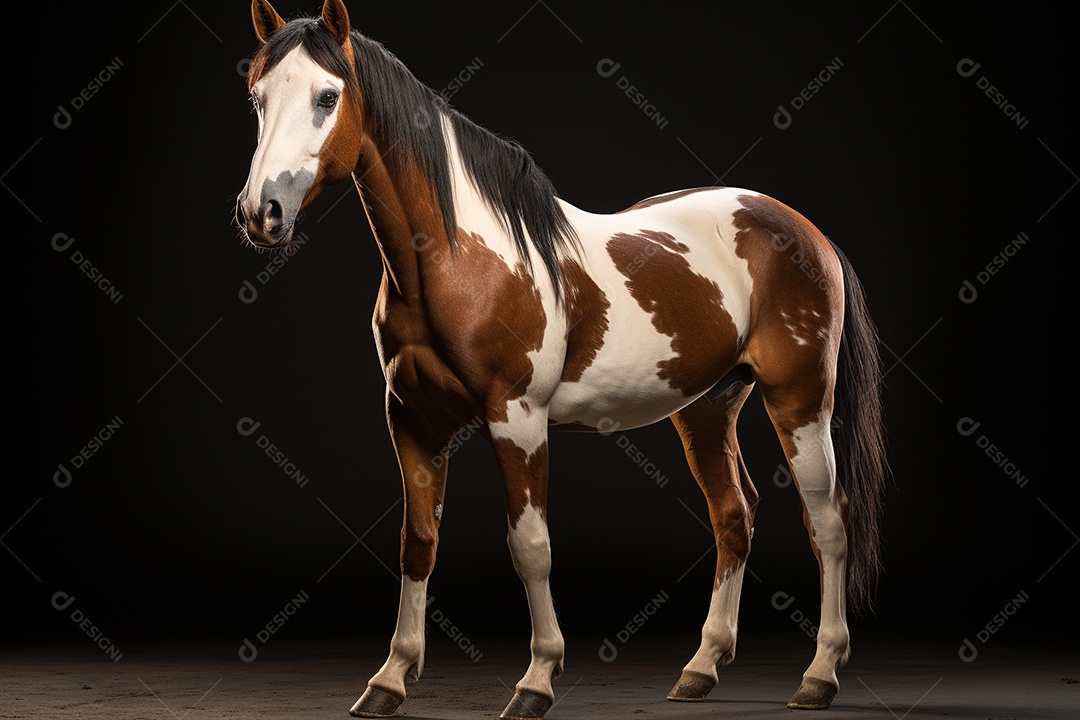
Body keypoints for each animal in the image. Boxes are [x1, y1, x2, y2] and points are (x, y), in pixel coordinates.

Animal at [235, 1, 888, 717]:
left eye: (328, 97)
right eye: (257, 96)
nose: (260, 213)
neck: (461, 261)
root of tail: (807, 232)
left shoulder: (517, 419)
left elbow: (531, 547)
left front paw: (537, 681)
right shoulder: (411, 420)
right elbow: (417, 544)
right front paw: (389, 679)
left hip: (799, 401)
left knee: (827, 519)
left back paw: (819, 675)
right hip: (708, 408)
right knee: (734, 516)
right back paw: (701, 669)